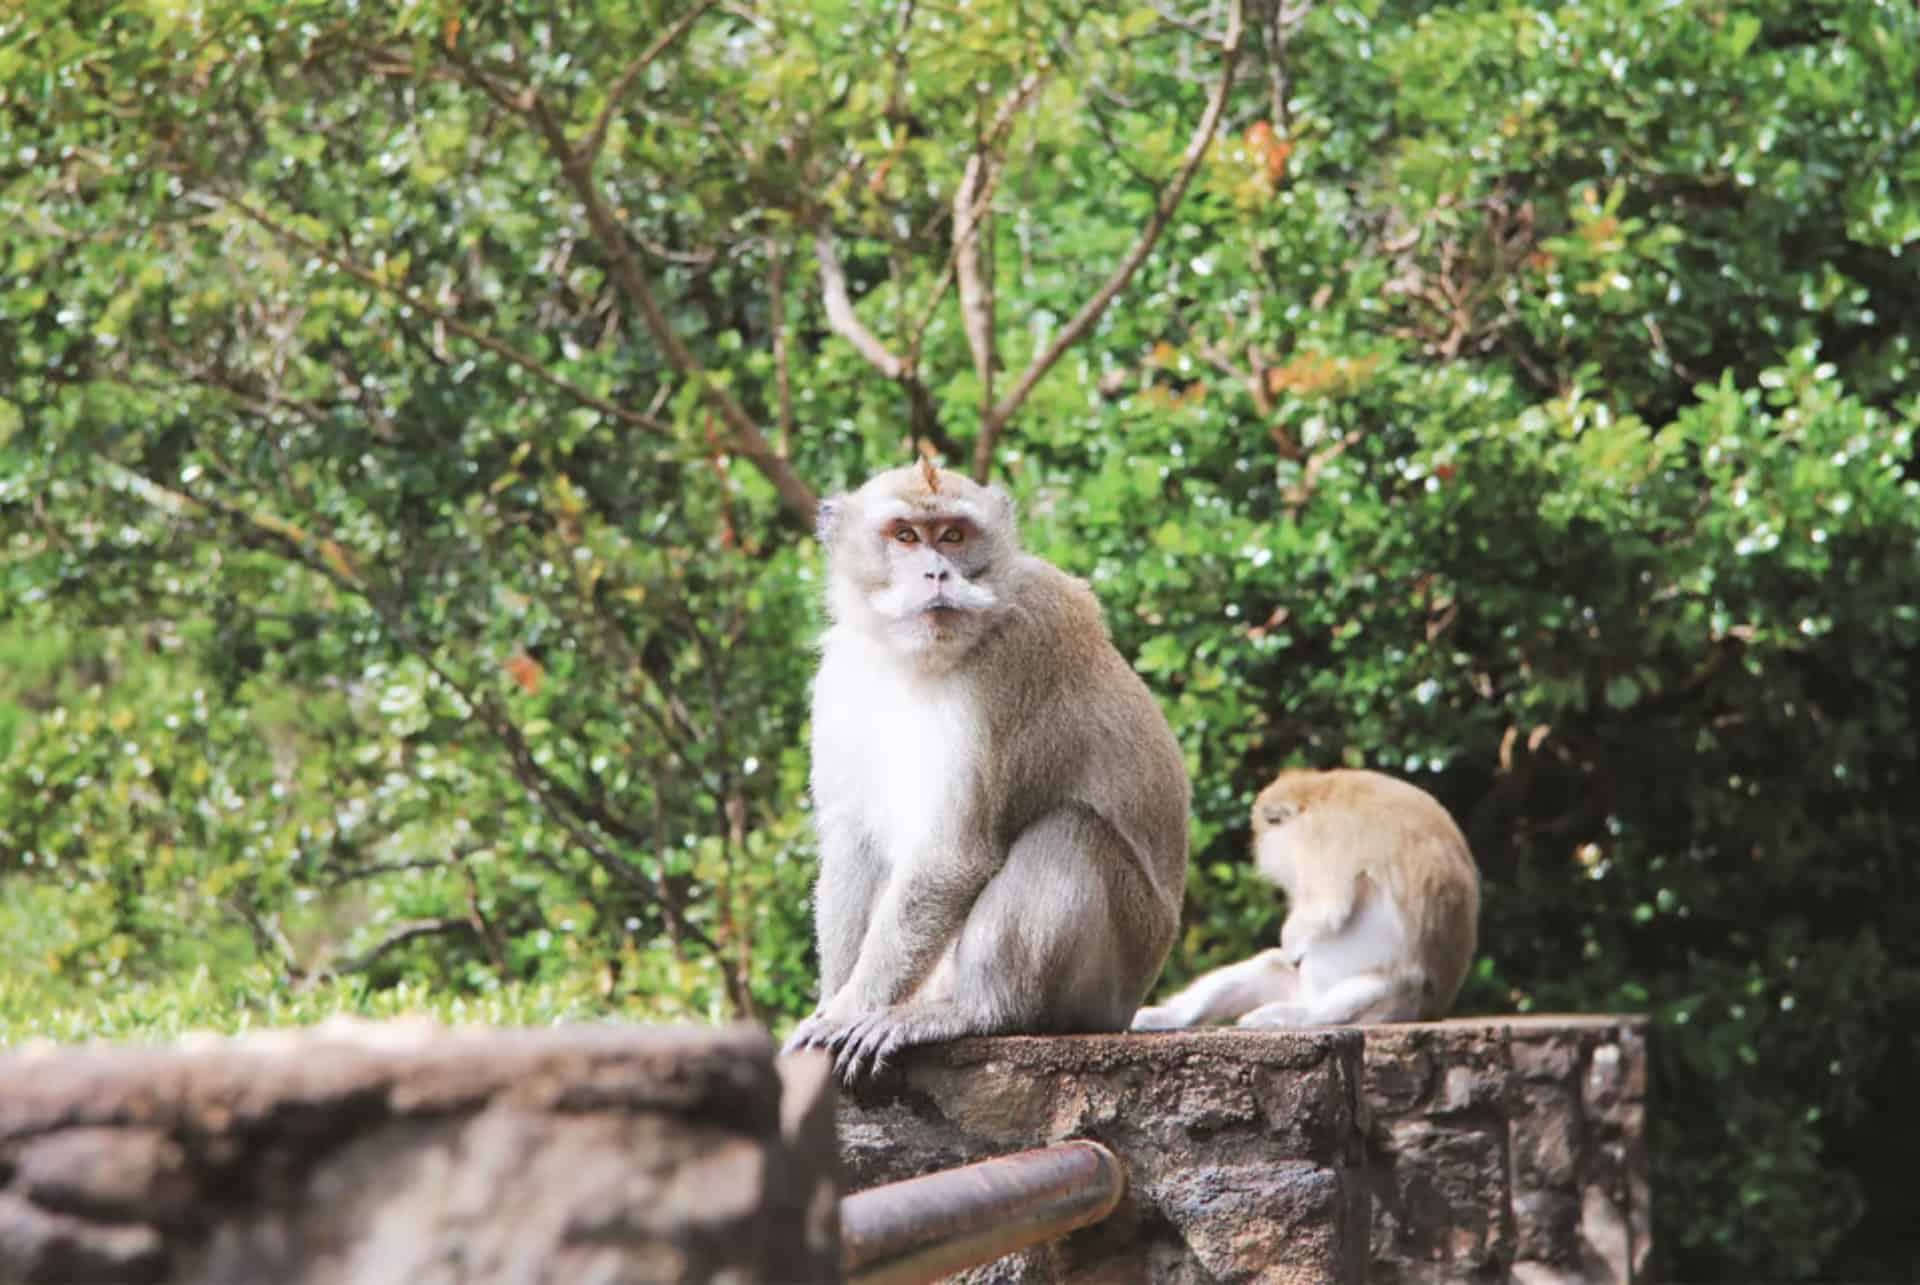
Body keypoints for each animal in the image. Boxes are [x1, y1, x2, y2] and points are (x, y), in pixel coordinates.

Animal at [779, 460, 1182, 1083]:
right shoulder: (844, 671)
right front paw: (832, 999)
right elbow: (853, 845)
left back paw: (979, 1010)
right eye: (904, 536)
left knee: (1070, 832)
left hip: (1112, 974)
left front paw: (849, 1008)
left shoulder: (1007, 665)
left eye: (953, 535)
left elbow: (952, 855)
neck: (909, 658)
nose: (937, 572)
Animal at [1128, 768, 1474, 1029]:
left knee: (1389, 985)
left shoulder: (1323, 834)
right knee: (1267, 968)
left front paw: (1293, 943)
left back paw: (1293, 1015)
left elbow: (1326, 908)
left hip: (1404, 1004)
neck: (1321, 791)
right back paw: (1169, 1017)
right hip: (1298, 988)